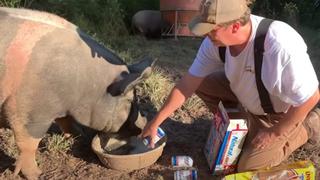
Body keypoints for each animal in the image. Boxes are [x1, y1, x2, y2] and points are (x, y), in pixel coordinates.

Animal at [0, 7, 154, 180]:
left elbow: (65, 121)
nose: (144, 121)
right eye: (129, 101)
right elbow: (29, 145)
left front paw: (79, 136)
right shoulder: (27, 109)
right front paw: (37, 175)